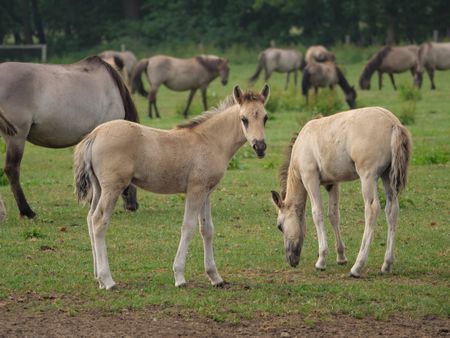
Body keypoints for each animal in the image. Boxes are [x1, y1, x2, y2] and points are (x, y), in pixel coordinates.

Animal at [74, 86, 270, 290]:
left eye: (265, 117)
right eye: (243, 119)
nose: (260, 147)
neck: (210, 140)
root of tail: (95, 134)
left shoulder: (207, 192)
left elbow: (207, 230)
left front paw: (215, 278)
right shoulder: (195, 190)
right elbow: (189, 227)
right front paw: (179, 276)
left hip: (99, 188)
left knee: (90, 218)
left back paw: (98, 278)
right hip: (112, 188)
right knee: (99, 221)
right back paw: (108, 280)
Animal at [270, 107, 412, 278]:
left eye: (279, 226)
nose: (291, 261)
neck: (301, 144)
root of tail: (393, 123)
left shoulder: (310, 178)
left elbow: (317, 214)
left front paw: (321, 260)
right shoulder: (332, 183)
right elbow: (333, 215)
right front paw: (341, 256)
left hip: (368, 176)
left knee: (372, 210)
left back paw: (357, 267)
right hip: (387, 176)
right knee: (392, 210)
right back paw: (387, 264)